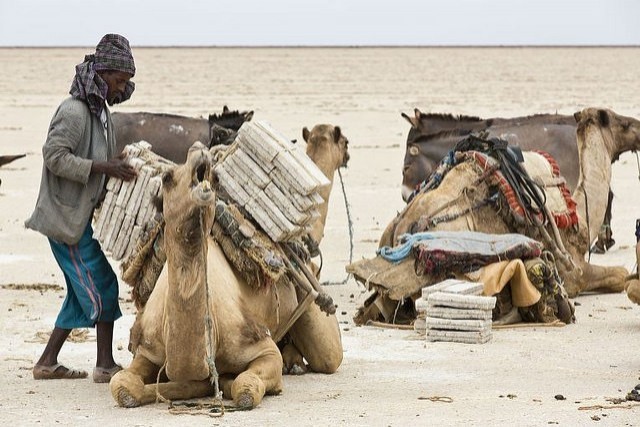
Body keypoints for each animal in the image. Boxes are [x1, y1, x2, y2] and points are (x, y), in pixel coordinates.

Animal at [111, 125, 350, 410]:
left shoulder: (261, 346)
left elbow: (244, 386)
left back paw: (293, 363)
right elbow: (122, 385)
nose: (198, 150)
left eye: (215, 179)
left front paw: (227, 383)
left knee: (327, 357)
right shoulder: (145, 350)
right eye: (167, 177)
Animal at [358, 108, 640, 324]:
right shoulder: (574, 271)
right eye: (622, 122)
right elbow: (619, 275)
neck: (578, 213)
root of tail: (399, 232)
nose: (638, 124)